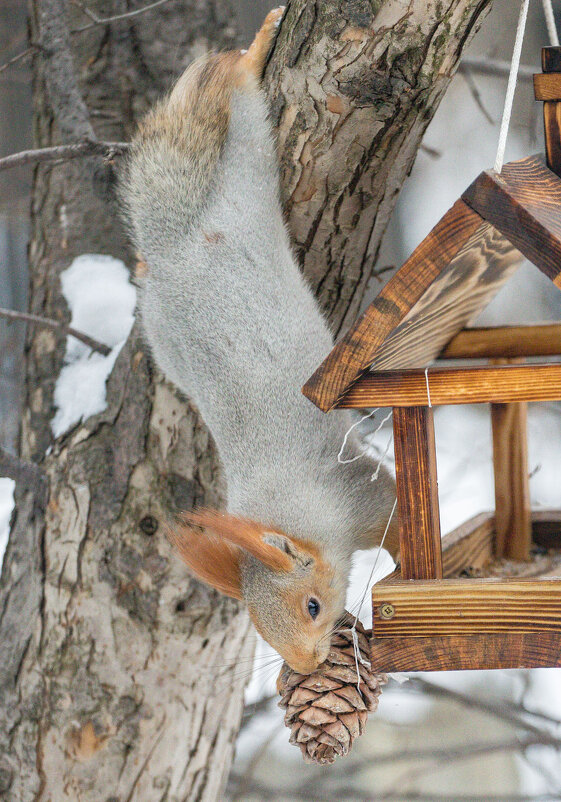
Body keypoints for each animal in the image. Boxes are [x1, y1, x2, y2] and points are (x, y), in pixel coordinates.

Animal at [118, 9, 398, 672]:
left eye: (312, 607)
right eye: (263, 636)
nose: (308, 666)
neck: (291, 505)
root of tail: (174, 246)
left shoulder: (358, 490)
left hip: (244, 168)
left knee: (239, 106)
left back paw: (257, 47)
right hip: (164, 335)